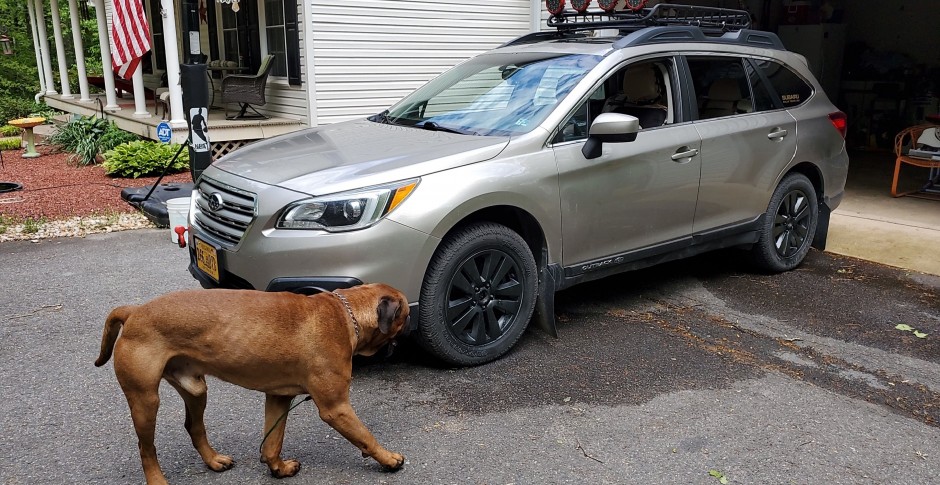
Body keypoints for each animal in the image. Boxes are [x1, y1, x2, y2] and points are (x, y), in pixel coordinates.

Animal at [92, 284, 412, 484]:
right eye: (406, 315)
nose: (409, 325)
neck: (346, 314)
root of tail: (134, 311)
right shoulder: (337, 408)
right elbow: (366, 437)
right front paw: (387, 459)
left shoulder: (278, 398)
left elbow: (272, 444)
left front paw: (279, 469)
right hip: (145, 401)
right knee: (146, 449)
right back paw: (158, 479)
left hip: (195, 390)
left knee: (194, 427)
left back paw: (214, 461)